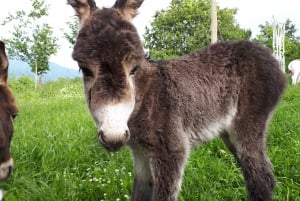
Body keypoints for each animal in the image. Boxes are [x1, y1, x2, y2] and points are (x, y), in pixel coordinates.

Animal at [68, 0, 286, 200]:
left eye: (134, 68)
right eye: (84, 69)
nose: (114, 136)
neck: (145, 97)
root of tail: (265, 53)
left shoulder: (171, 151)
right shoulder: (140, 153)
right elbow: (139, 192)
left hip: (248, 122)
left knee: (260, 177)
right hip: (228, 131)